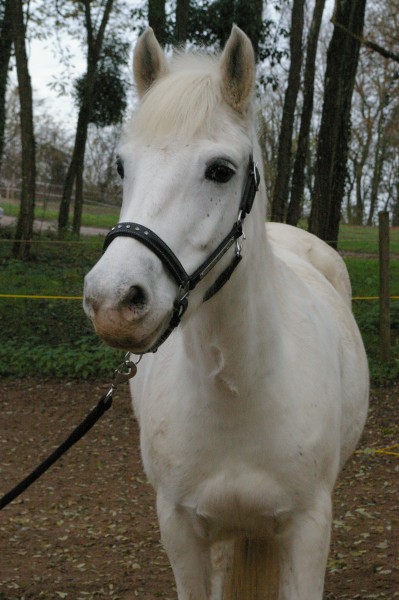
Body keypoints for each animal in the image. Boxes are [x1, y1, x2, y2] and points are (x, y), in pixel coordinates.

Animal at [83, 27, 368, 600]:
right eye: (123, 166)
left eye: (221, 171)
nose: (112, 301)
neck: (241, 393)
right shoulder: (180, 527)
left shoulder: (308, 531)